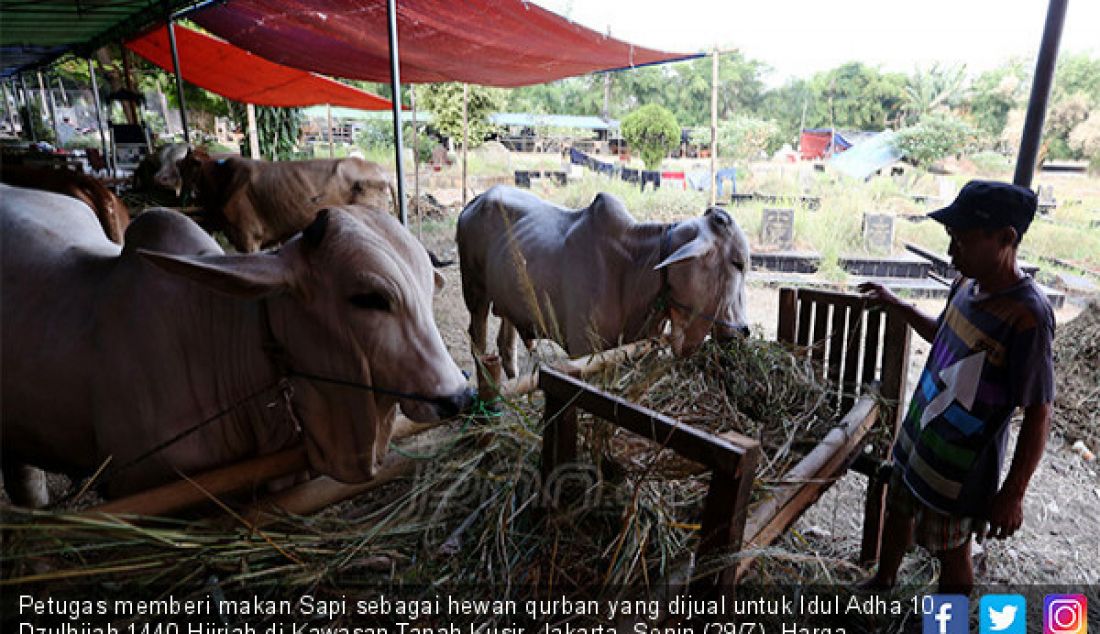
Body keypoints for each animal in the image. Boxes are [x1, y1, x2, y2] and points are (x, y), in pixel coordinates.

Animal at [453, 186, 748, 378]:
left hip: (508, 300)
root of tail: (475, 200)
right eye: (738, 263)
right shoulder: (584, 352)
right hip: (474, 292)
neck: (632, 267)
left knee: (506, 344)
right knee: (478, 340)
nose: (742, 331)